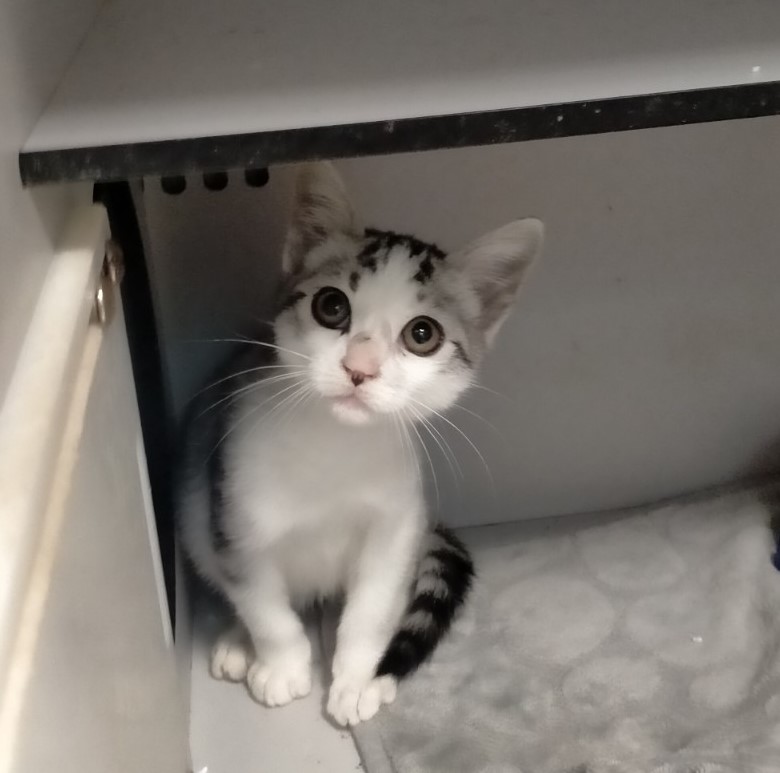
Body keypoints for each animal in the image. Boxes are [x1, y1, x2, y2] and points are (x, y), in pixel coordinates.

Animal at [177, 162, 543, 726]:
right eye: (332, 306)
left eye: (422, 334)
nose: (360, 368)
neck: (334, 449)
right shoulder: (234, 518)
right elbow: (264, 605)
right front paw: (281, 665)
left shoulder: (396, 523)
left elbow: (371, 609)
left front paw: (358, 678)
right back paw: (239, 643)